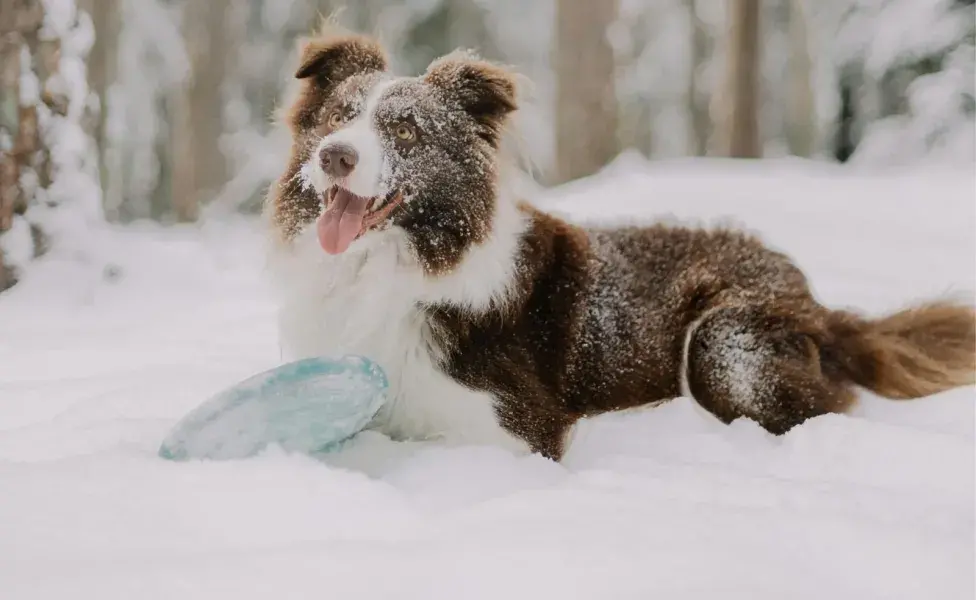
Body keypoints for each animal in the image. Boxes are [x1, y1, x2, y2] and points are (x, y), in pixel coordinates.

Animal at [262, 25, 976, 462]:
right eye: (337, 118)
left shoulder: (513, 427)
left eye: (406, 130)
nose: (333, 155)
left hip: (724, 342)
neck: (385, 267)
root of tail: (815, 297)